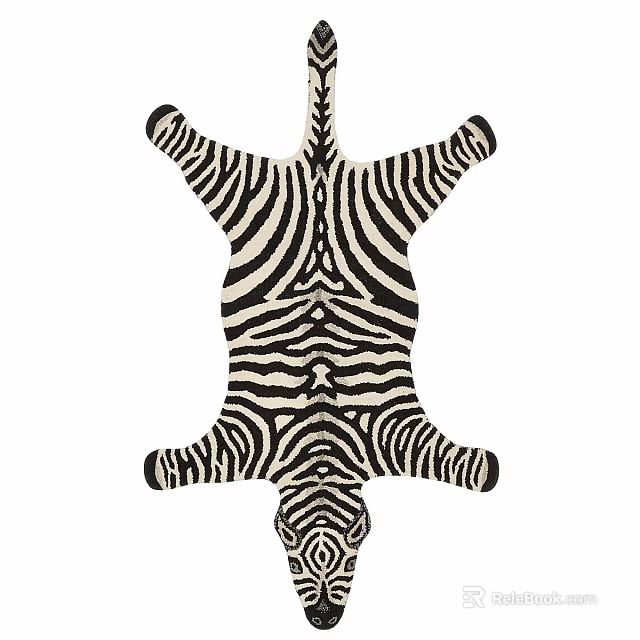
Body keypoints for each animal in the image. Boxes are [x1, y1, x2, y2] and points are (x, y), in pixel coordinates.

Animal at [143, 19, 499, 630]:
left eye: (352, 561)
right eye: (295, 565)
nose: (325, 622)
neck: (321, 447)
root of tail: (320, 163)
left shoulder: (394, 433)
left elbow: (472, 468)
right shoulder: (243, 439)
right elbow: (167, 468)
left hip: (380, 195)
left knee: (456, 148)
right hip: (261, 190)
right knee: (184, 139)